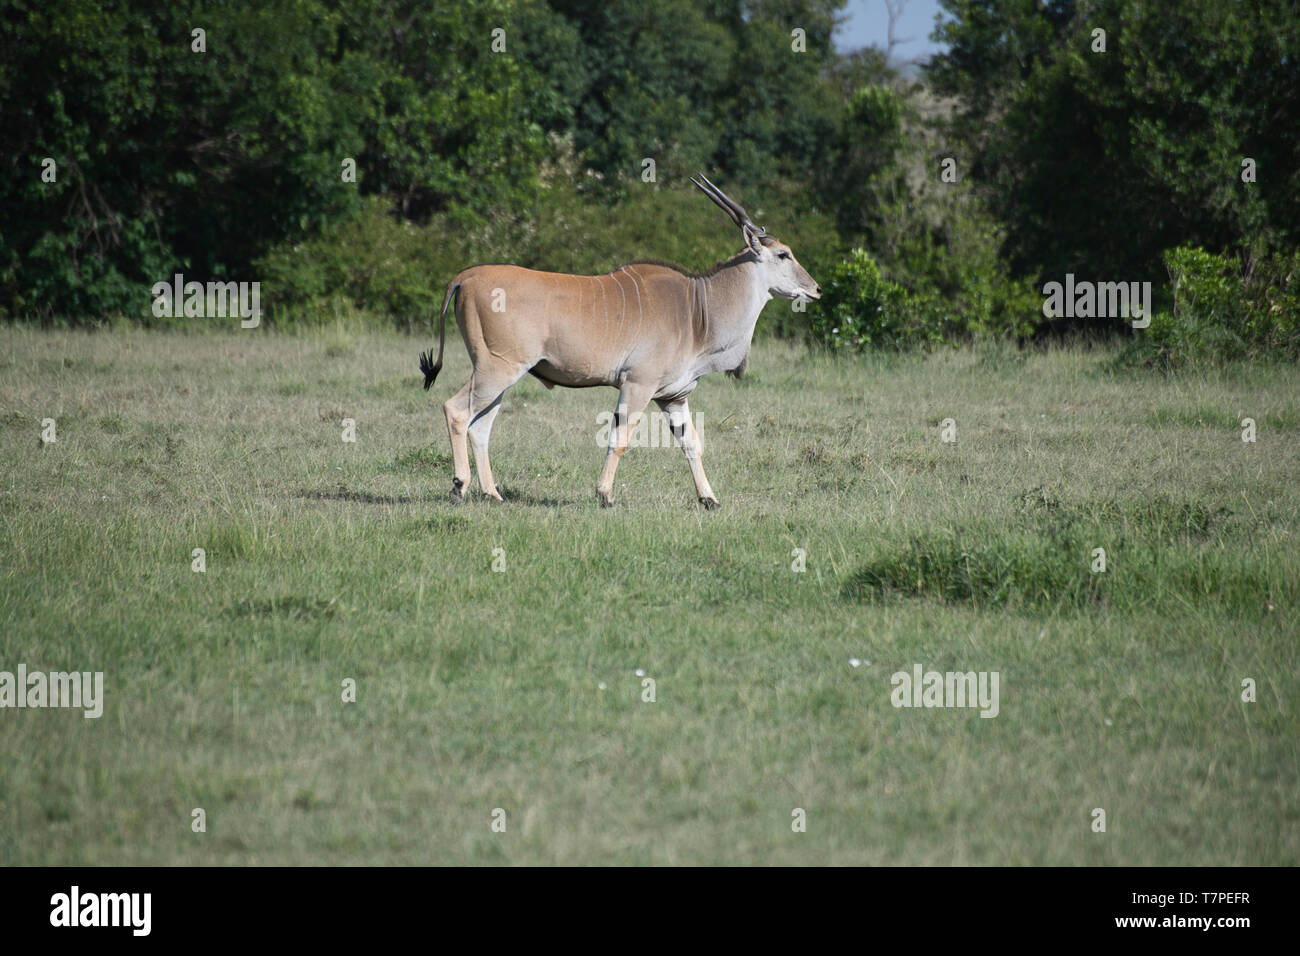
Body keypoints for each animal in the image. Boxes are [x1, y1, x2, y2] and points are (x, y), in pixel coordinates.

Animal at [418, 176, 821, 512]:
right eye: (783, 254)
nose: (816, 289)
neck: (696, 310)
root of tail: (467, 276)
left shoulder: (674, 397)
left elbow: (691, 442)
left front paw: (709, 499)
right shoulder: (637, 385)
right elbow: (620, 438)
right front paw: (605, 495)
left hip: (501, 376)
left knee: (481, 427)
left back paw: (493, 494)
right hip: (496, 369)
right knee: (457, 411)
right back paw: (459, 486)